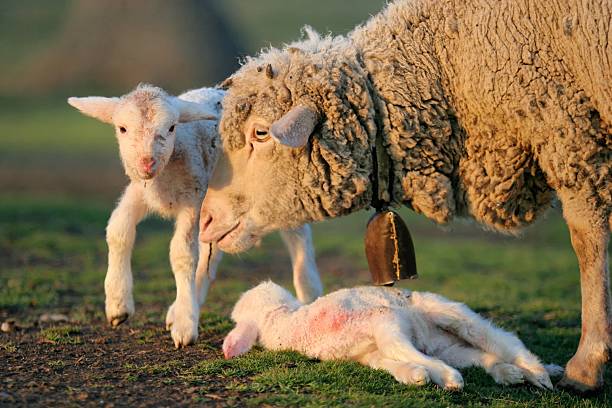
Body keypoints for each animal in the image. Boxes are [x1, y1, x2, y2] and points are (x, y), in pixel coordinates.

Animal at [68, 85, 326, 348]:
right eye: (122, 128)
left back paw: (309, 290)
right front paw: (118, 305)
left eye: (171, 127)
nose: (147, 163)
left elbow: (182, 254)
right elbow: (118, 230)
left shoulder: (192, 198)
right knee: (212, 251)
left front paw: (184, 326)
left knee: (297, 233)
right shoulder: (142, 191)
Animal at [225, 280, 564, 388]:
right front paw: (421, 376)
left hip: (445, 312)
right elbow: (393, 360)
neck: (287, 323)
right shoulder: (367, 352)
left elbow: (400, 348)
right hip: (449, 347)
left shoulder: (384, 321)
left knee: (503, 341)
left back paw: (541, 374)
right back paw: (513, 374)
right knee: (484, 355)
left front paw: (448, 379)